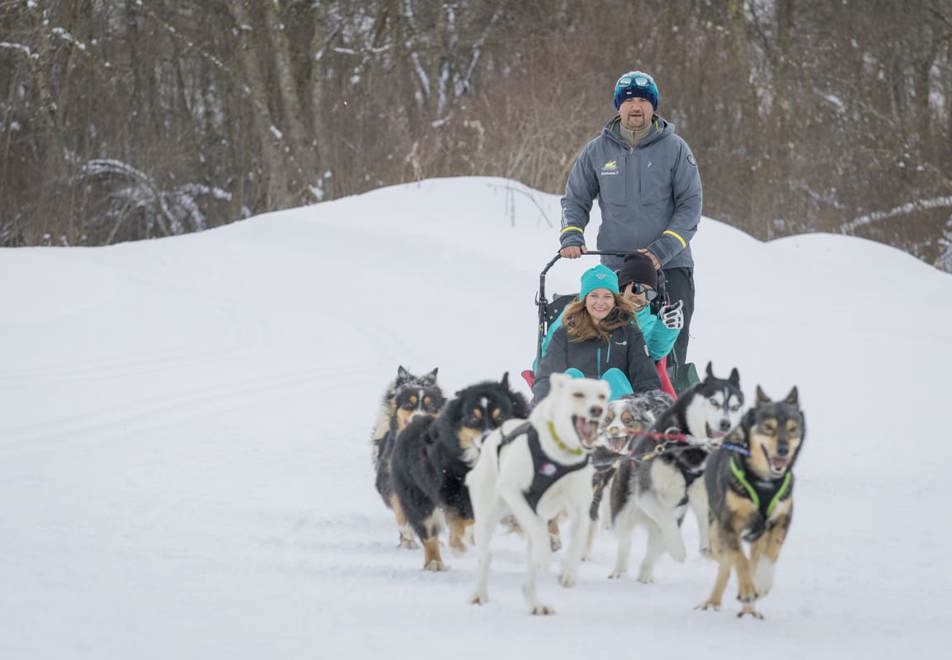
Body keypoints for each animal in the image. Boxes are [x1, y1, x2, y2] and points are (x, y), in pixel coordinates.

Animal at [468, 374, 608, 616]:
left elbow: (578, 539)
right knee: (485, 556)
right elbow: (535, 526)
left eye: (601, 396)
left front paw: (569, 572)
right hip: (488, 515)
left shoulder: (581, 507)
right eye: (578, 394)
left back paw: (536, 603)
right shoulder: (512, 489)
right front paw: (545, 555)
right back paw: (479, 594)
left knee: (528, 578)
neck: (559, 456)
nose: (597, 409)